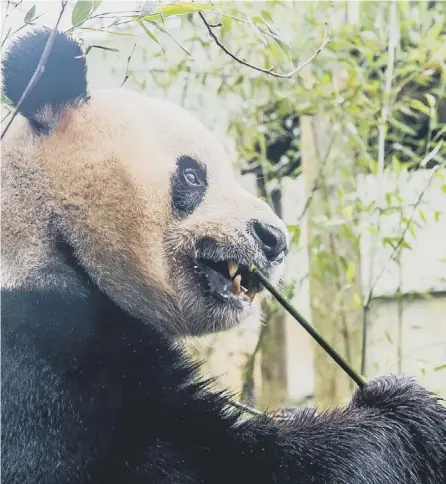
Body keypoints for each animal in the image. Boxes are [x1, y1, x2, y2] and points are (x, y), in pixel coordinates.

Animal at [2, 27, 446, 484]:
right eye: (192, 175)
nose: (274, 239)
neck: (49, 231)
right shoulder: (36, 356)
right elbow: (218, 461)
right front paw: (403, 409)